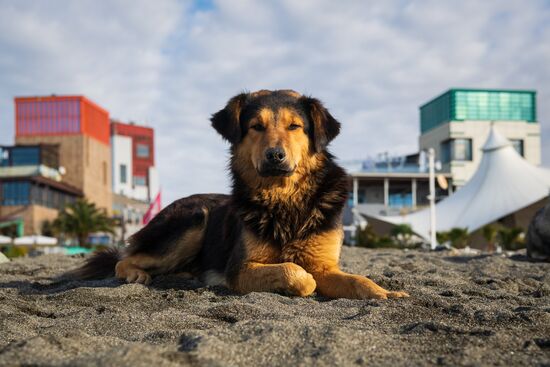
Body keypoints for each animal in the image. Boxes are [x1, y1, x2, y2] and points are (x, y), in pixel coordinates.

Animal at [70, 90, 410, 300]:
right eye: (256, 126)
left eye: (295, 126)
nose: (275, 156)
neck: (284, 200)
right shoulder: (241, 268)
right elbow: (297, 273)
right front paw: (298, 285)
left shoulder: (325, 265)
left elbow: (356, 280)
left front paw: (384, 293)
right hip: (193, 219)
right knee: (124, 258)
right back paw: (136, 274)